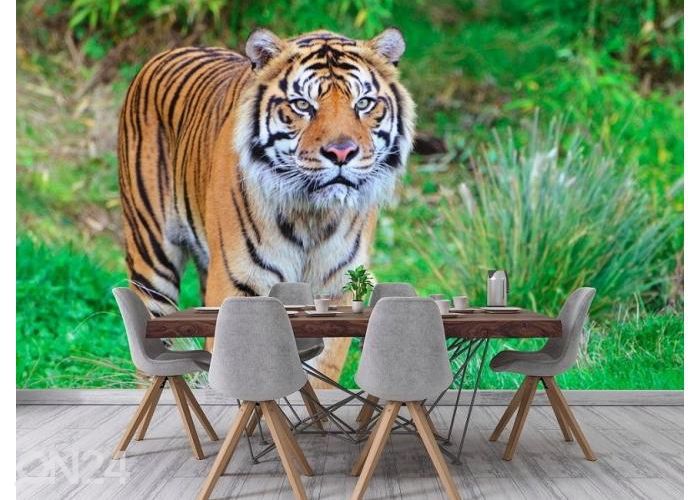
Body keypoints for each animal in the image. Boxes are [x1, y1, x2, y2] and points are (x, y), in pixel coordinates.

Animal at [117, 28, 415, 375]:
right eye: (302, 105)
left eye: (364, 103)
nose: (341, 152)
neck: (312, 215)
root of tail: (171, 51)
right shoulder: (238, 285)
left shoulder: (336, 289)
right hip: (152, 260)